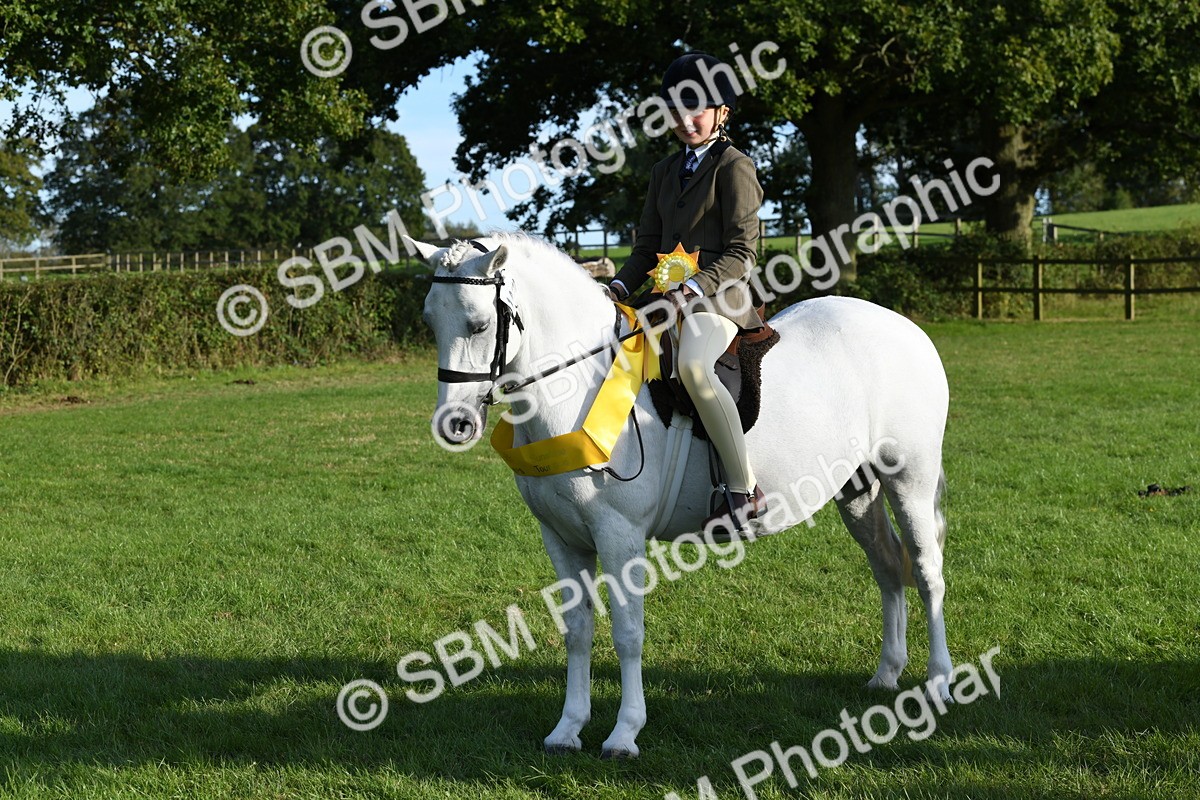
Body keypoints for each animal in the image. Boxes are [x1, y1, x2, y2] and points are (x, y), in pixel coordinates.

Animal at [407, 232, 952, 759]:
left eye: (479, 324)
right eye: (430, 320)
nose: (455, 425)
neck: (577, 388)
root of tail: (907, 329)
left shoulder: (619, 534)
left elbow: (628, 633)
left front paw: (624, 734)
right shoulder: (561, 538)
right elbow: (578, 631)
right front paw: (568, 729)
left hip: (910, 478)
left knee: (926, 572)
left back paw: (940, 683)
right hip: (858, 490)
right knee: (887, 566)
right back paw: (886, 675)